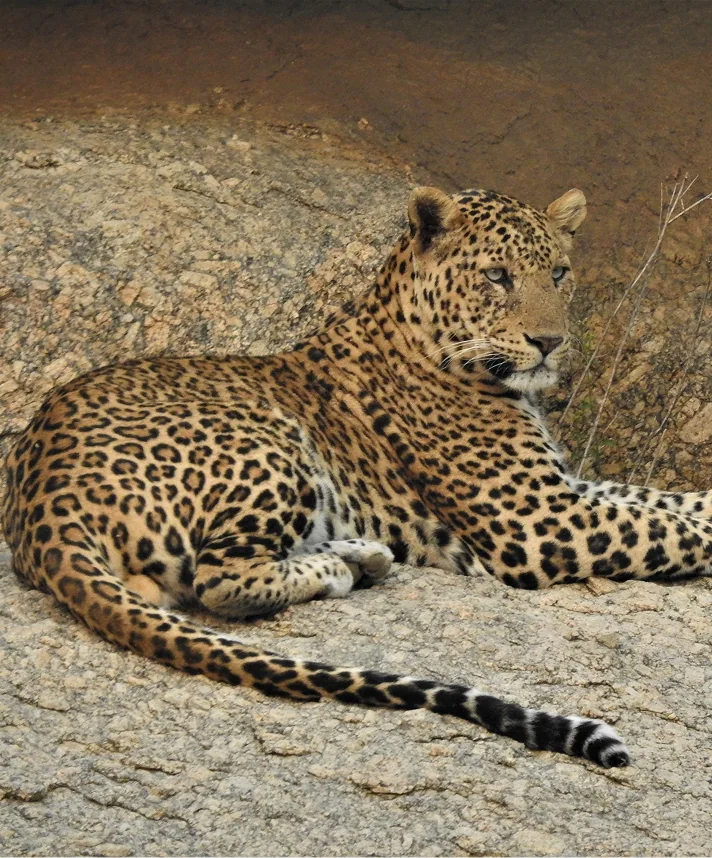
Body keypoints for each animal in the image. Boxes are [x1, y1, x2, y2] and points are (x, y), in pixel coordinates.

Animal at [7, 184, 712, 768]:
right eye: (496, 275)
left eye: (559, 273)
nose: (551, 342)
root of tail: (42, 503)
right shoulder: (538, 520)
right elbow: (671, 530)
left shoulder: (566, 489)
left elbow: (665, 503)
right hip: (272, 440)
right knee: (220, 581)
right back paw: (340, 566)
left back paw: (364, 553)